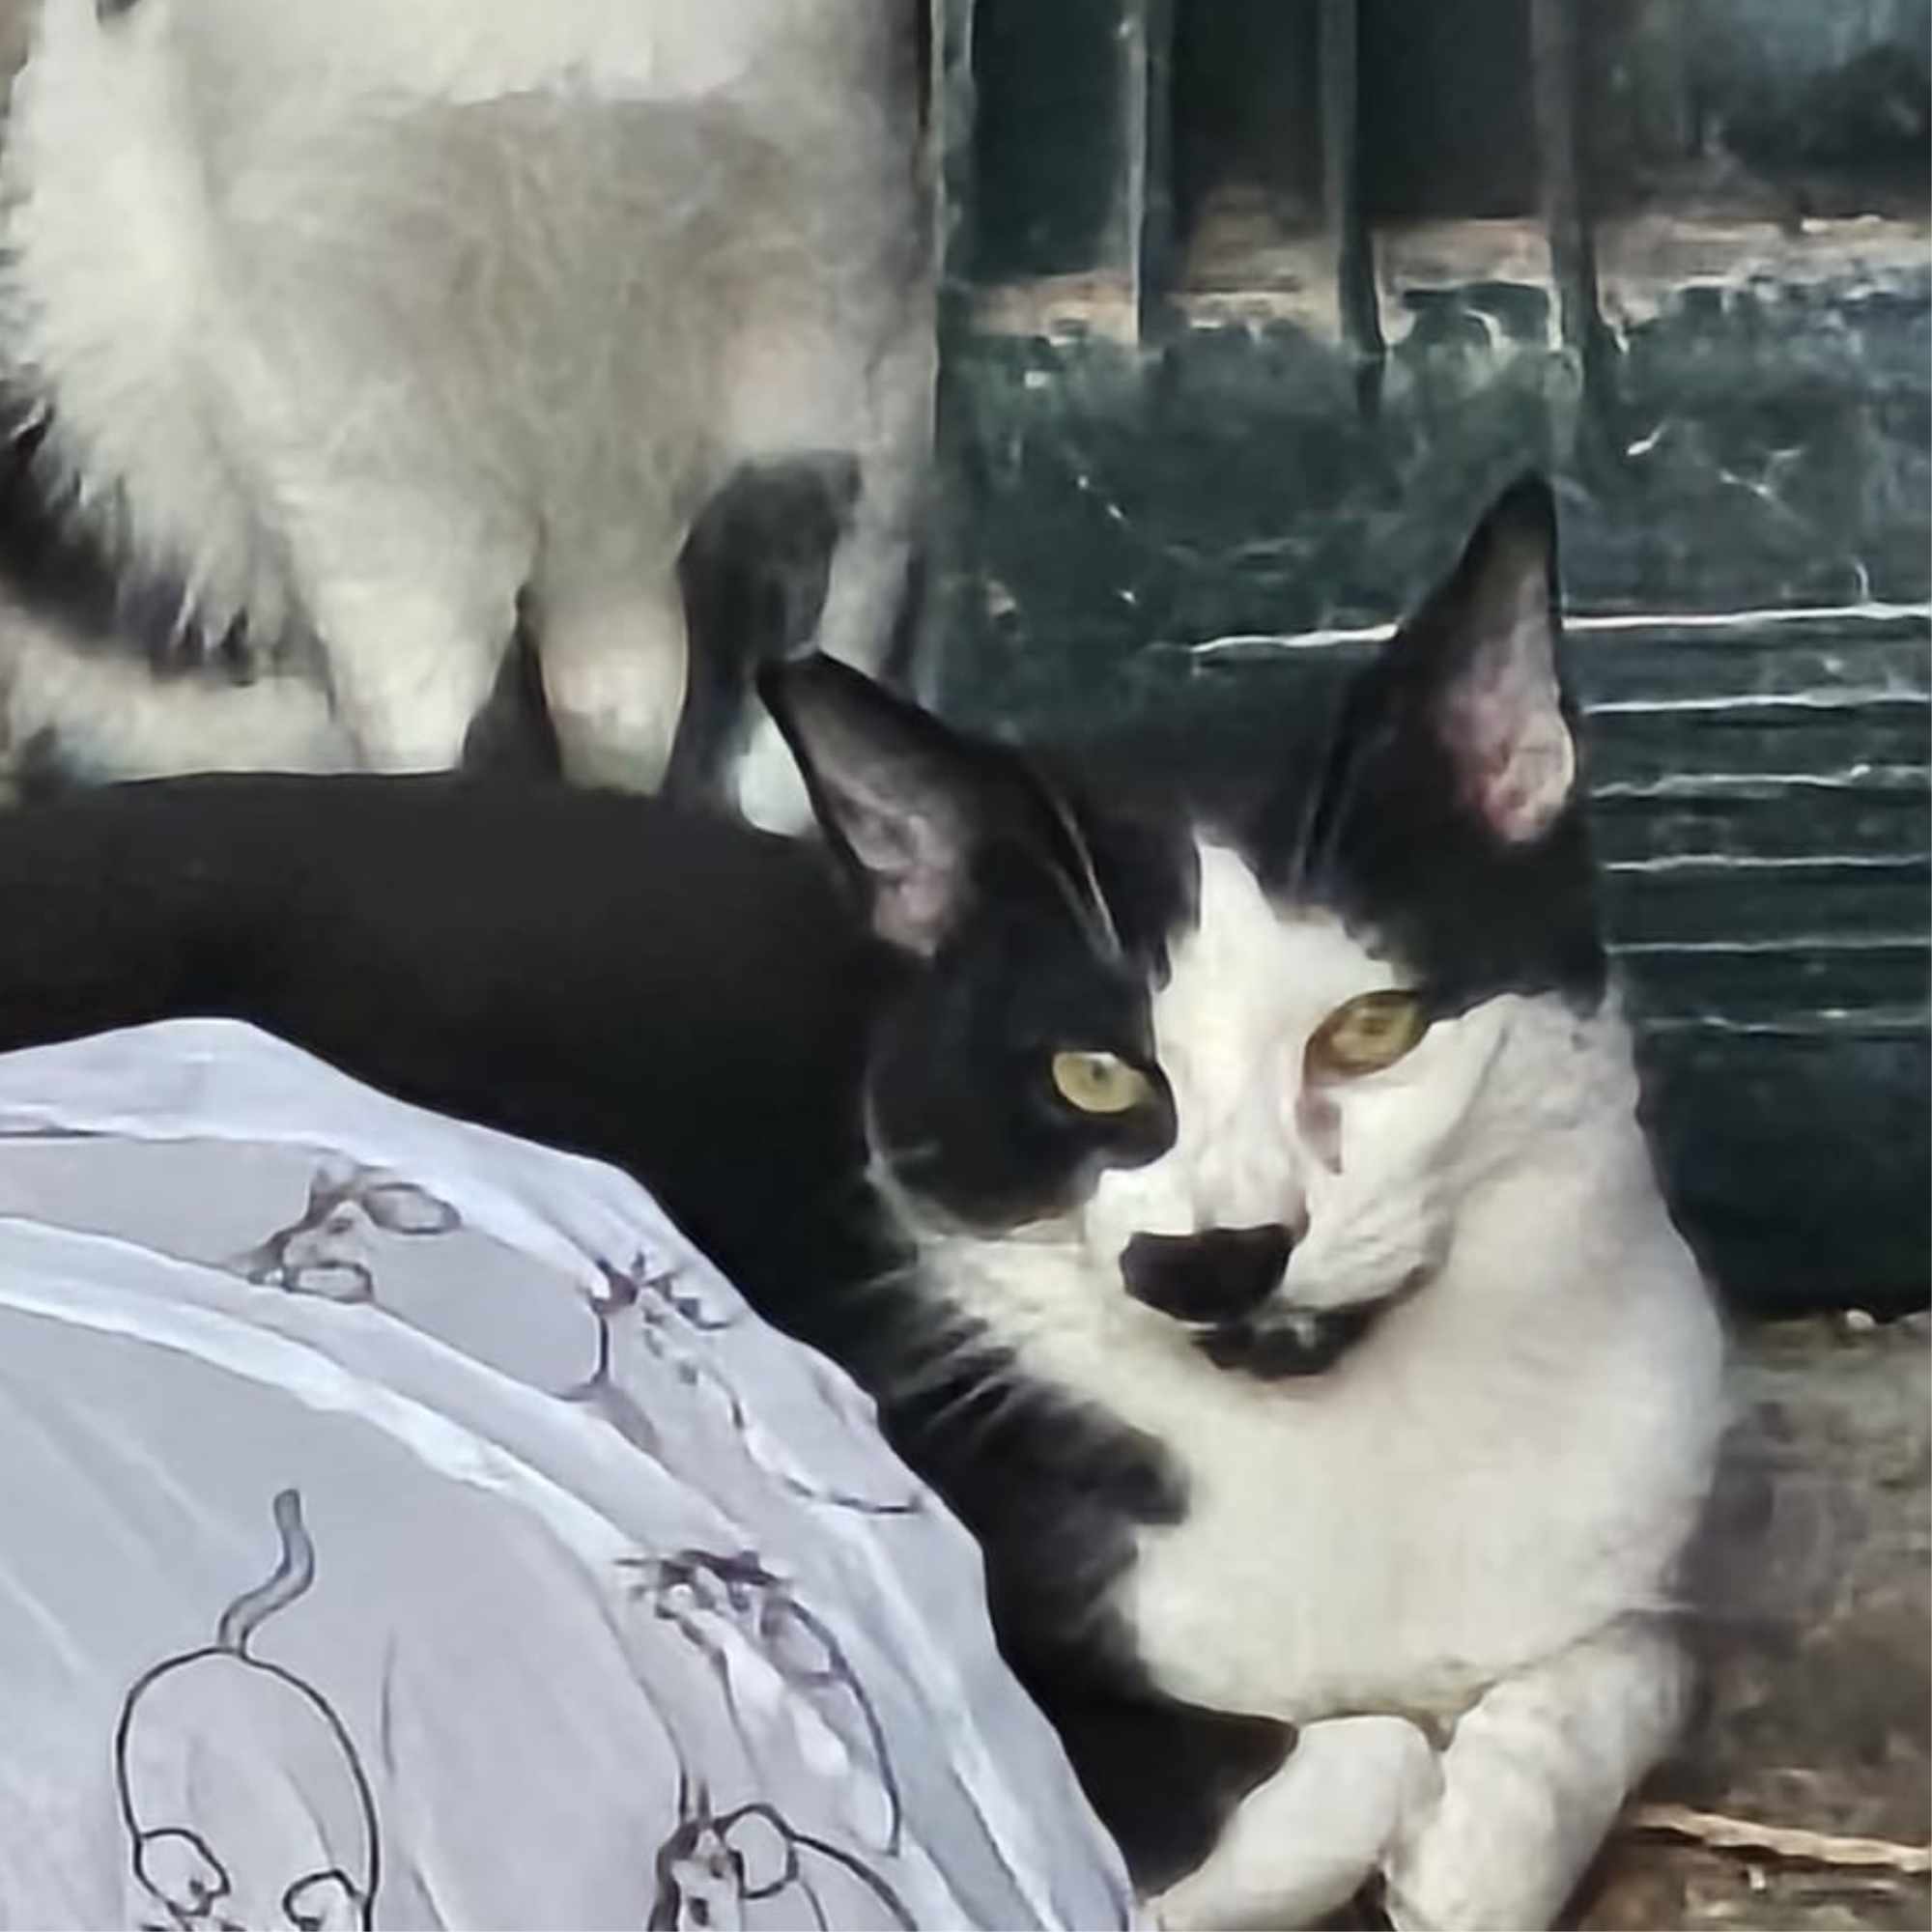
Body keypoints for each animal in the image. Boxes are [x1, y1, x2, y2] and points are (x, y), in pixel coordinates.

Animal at [0, 477, 1723, 1927]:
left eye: (1370, 1030)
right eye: (1095, 1076)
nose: (1218, 1256)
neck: (1344, 1435)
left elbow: (1640, 1655)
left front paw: (1489, 1823)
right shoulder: (1028, 1699)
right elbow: (1358, 1761)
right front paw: (1412, 1817)